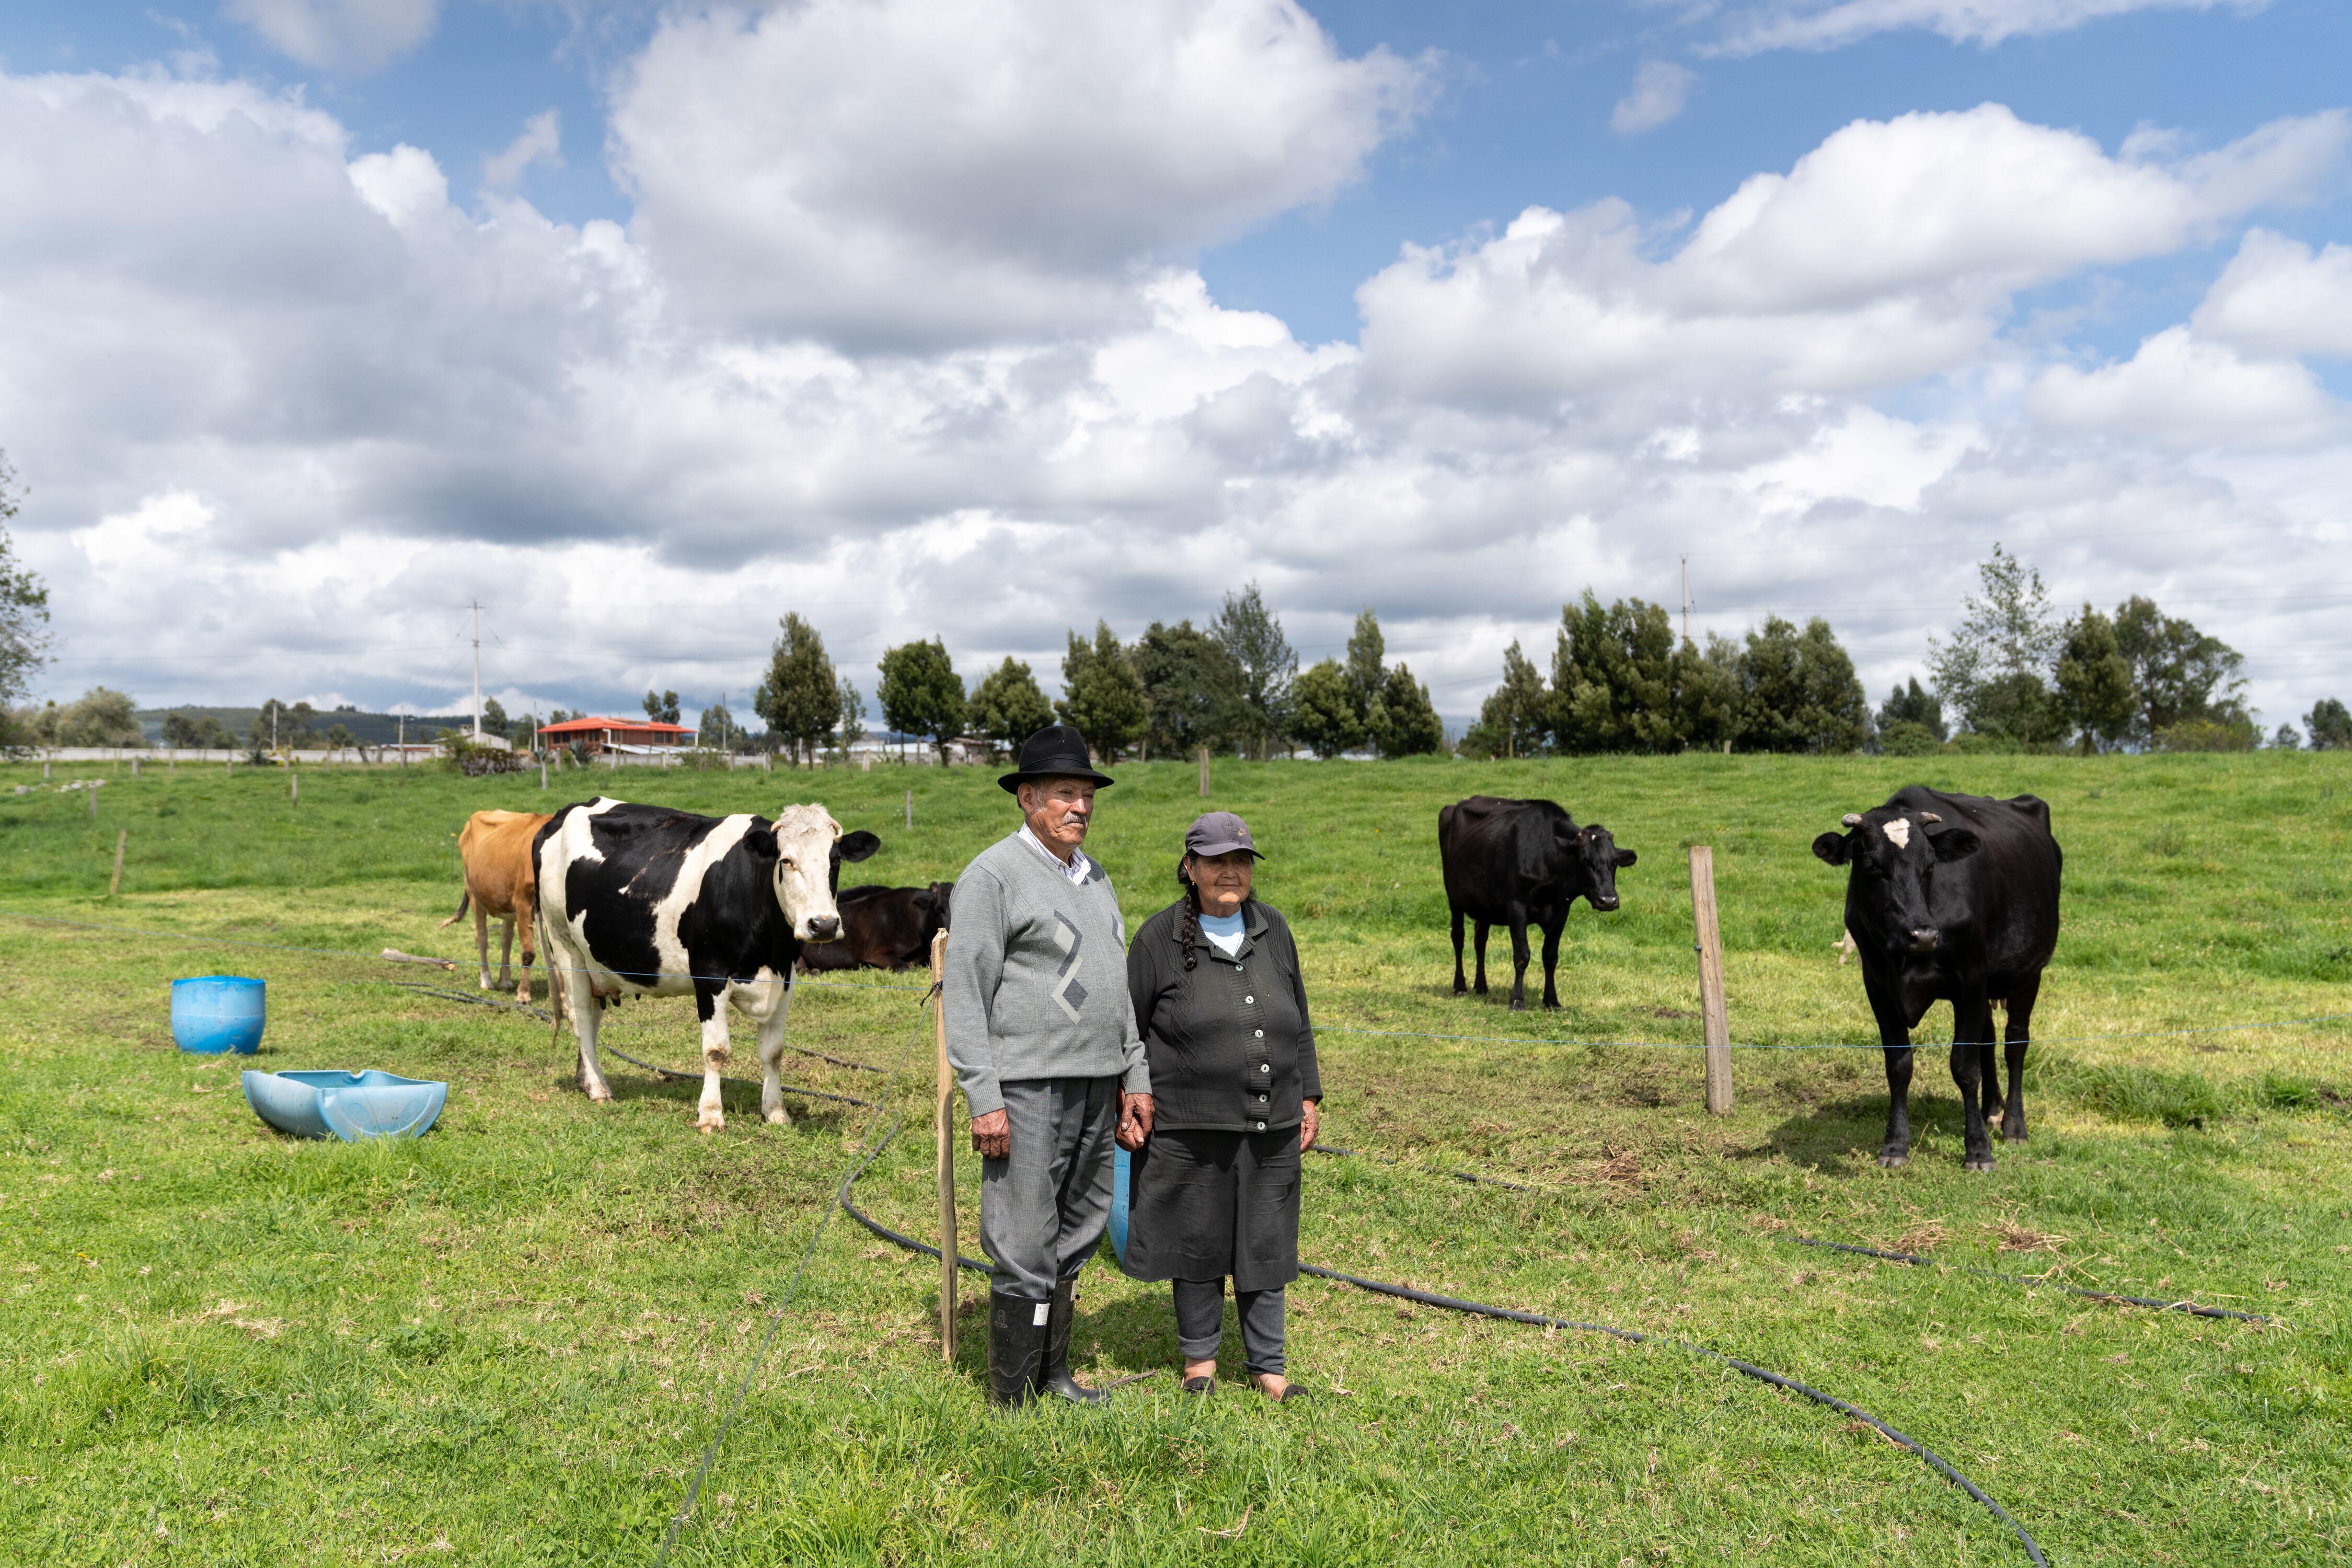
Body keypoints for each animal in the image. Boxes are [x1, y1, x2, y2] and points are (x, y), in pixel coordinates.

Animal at [442, 818, 552, 1001]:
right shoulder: (523, 902)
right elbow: (529, 951)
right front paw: (523, 994)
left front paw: (561, 996)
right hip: (475, 895)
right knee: (482, 936)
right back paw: (486, 980)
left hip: (507, 905)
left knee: (506, 938)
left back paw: (505, 980)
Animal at [534, 804, 884, 1133]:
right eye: (786, 860)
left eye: (835, 861)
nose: (823, 925)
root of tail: (564, 813)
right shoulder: (709, 975)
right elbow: (716, 1050)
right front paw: (712, 1115)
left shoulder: (786, 979)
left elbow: (773, 1052)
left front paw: (776, 1112)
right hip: (566, 946)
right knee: (579, 1016)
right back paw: (597, 1088)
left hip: (595, 961)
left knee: (592, 1018)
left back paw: (586, 1078)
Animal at [1430, 790, 1637, 1011]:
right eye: (1585, 861)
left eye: (1614, 862)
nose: (1608, 900)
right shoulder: (1516, 906)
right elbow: (1522, 955)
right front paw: (1517, 1000)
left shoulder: (1562, 910)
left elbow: (1550, 957)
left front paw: (1552, 1000)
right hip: (1453, 897)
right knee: (1458, 937)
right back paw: (1460, 986)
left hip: (1485, 905)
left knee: (1480, 940)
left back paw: (1481, 986)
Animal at [1816, 790, 2060, 1170]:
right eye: (1872, 866)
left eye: (1930, 866)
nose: (1923, 935)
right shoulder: (1878, 987)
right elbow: (1899, 1066)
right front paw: (1895, 1146)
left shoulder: (1970, 980)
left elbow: (1965, 1067)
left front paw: (1978, 1151)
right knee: (1989, 1040)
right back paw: (1991, 1110)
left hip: (2029, 972)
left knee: (2016, 1044)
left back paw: (2013, 1125)